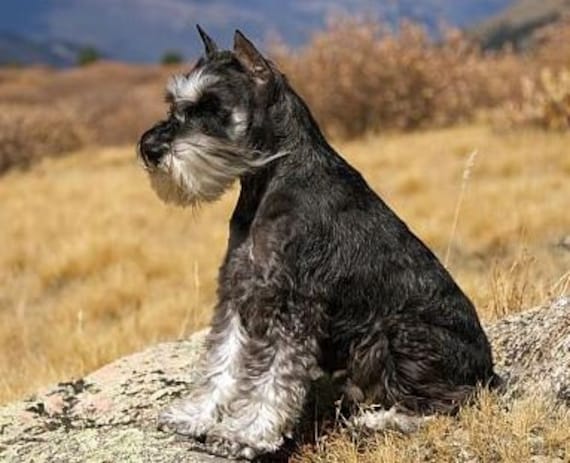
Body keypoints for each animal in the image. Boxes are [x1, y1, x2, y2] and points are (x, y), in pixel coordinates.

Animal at [139, 27, 496, 462]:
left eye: (212, 106)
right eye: (175, 102)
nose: (150, 149)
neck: (270, 179)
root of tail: (488, 369)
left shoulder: (296, 305)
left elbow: (276, 379)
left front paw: (247, 436)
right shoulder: (239, 291)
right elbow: (223, 360)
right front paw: (196, 416)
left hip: (401, 335)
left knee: (452, 402)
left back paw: (380, 421)